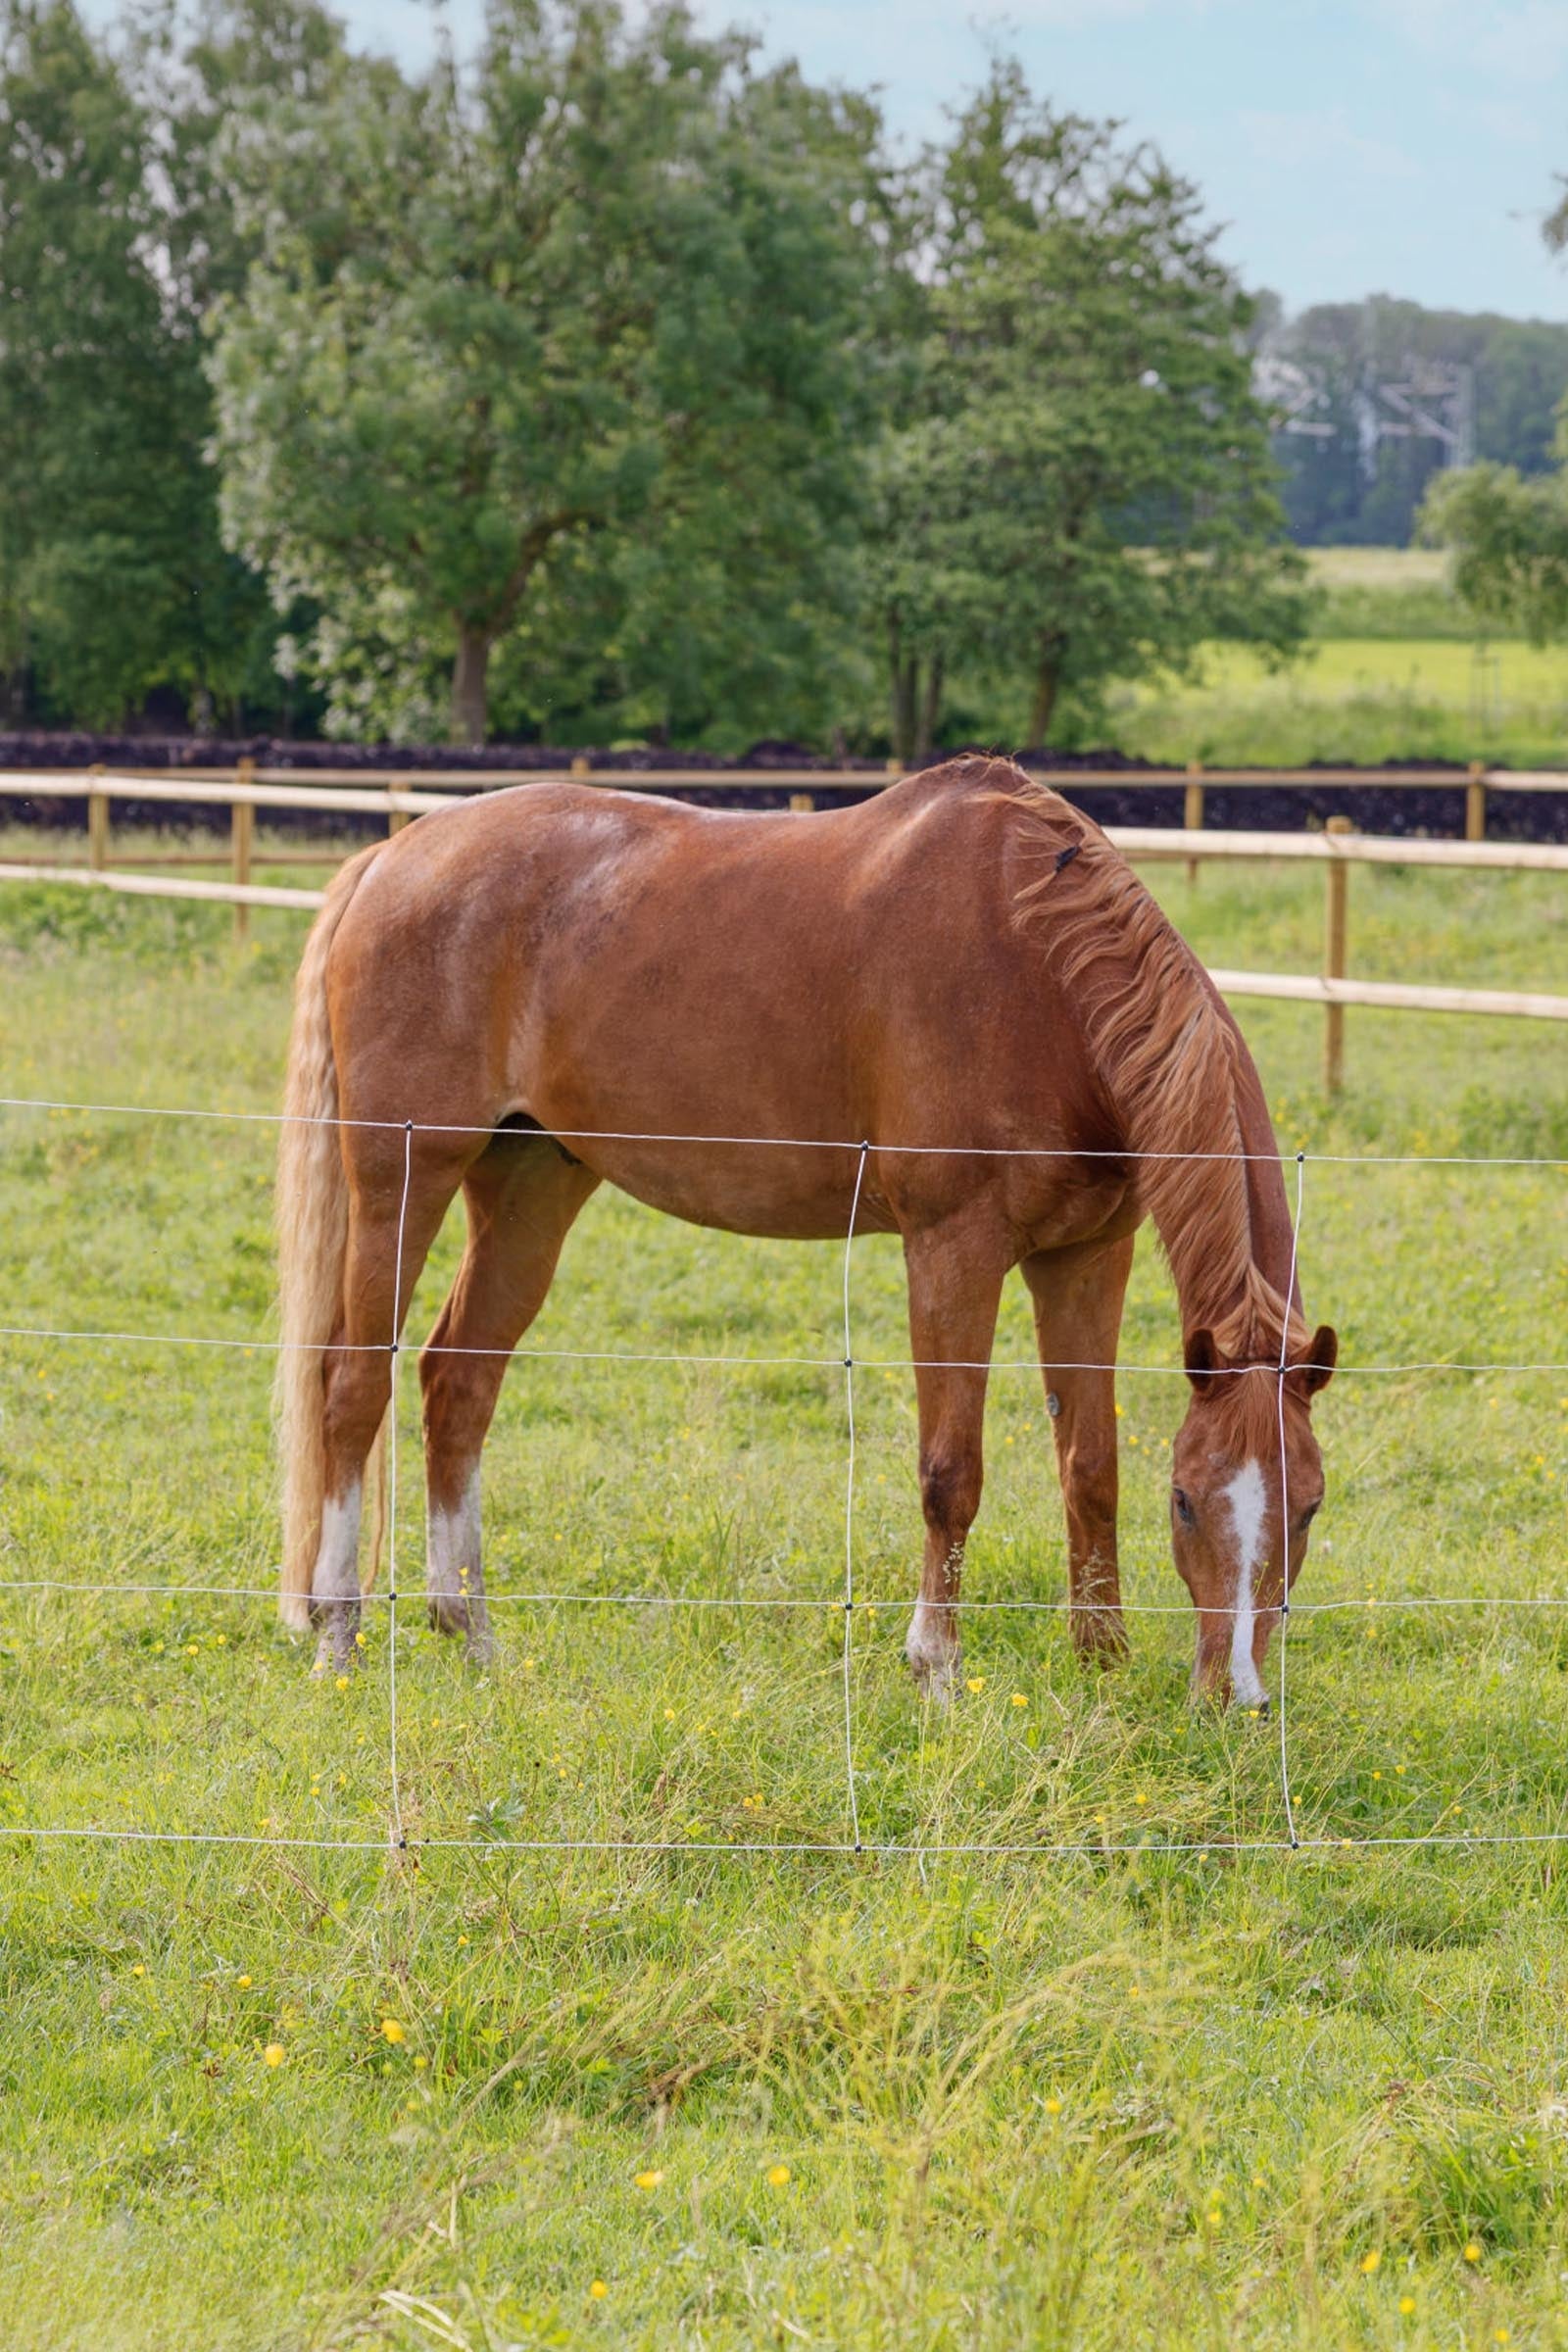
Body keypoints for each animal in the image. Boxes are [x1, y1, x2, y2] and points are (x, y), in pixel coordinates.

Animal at [275, 755, 1336, 1704]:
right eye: (1188, 1502)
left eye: (1311, 1504)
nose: (1235, 1696)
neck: (1038, 969)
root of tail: (395, 855)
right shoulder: (954, 1250)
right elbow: (951, 1471)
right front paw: (936, 1670)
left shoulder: (1085, 1256)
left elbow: (1089, 1465)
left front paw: (1101, 1665)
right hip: (403, 1180)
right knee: (351, 1386)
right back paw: (337, 1639)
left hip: (531, 1186)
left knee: (458, 1383)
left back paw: (475, 1636)